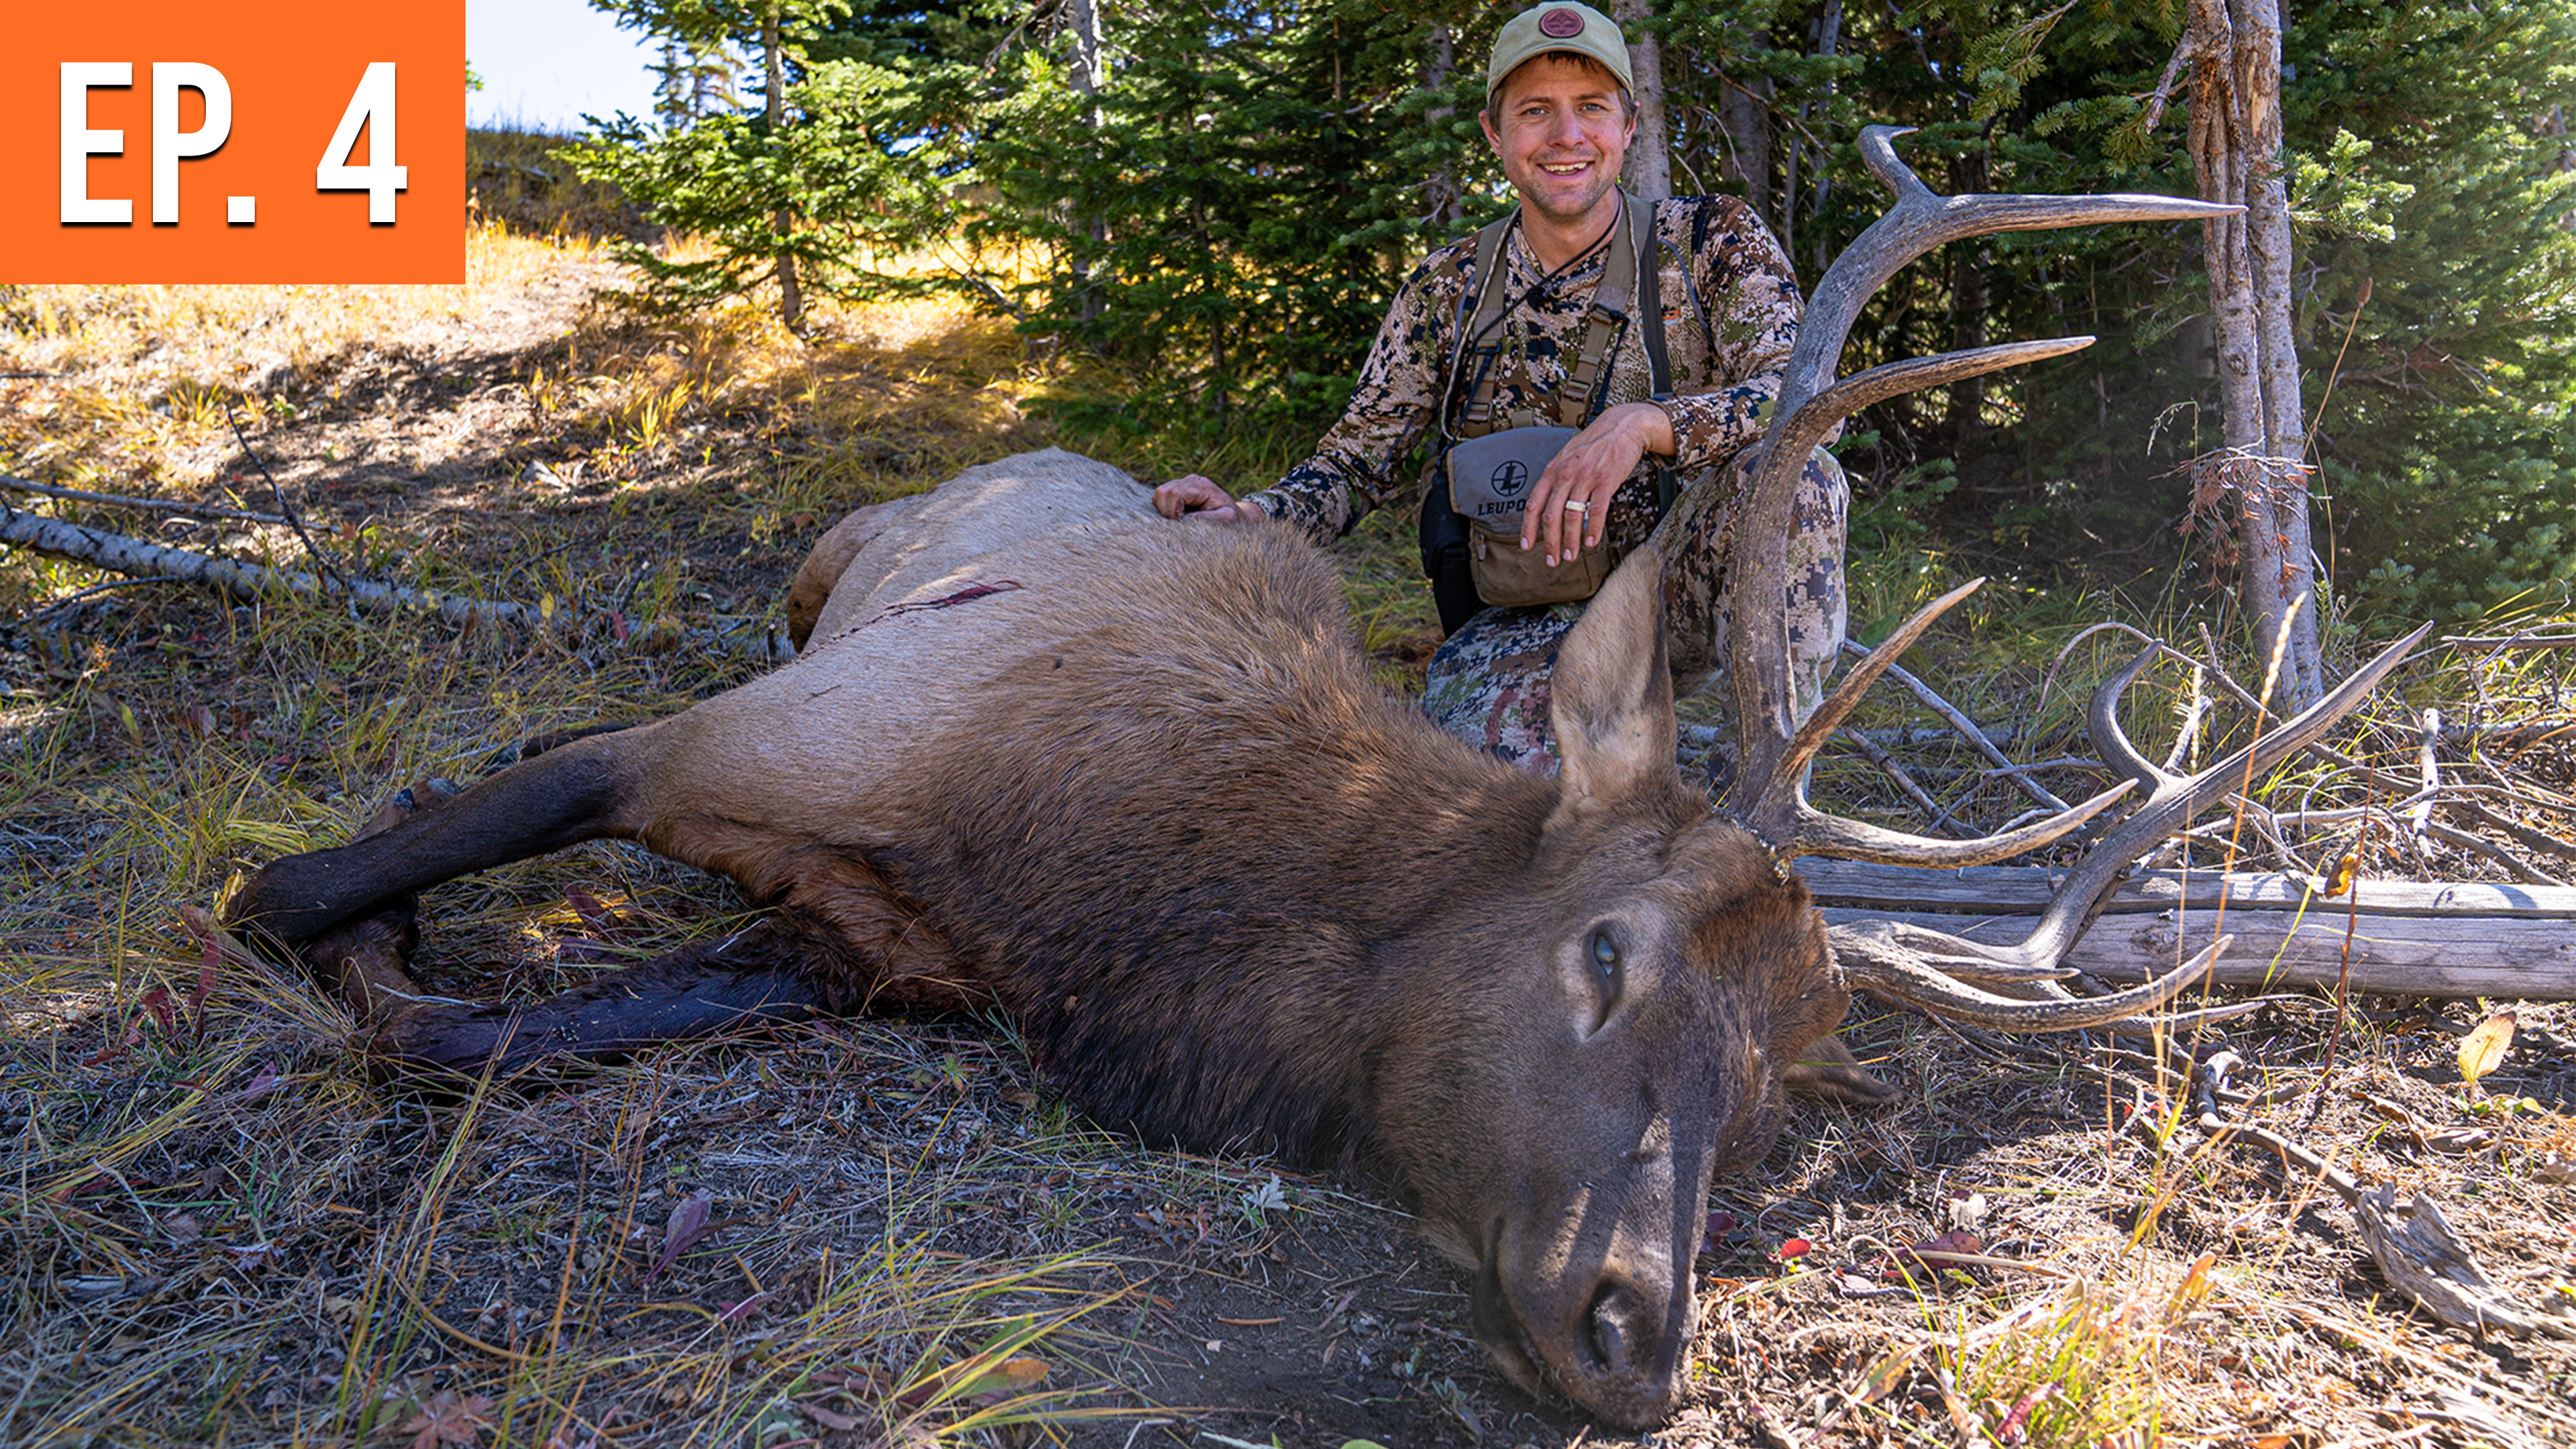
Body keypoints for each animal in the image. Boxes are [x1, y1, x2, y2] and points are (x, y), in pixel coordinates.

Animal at [218, 128, 2428, 1428]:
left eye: (1772, 1092)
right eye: (1602, 953)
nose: (1634, 1337)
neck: (1100, 890)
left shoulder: (870, 953)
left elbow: (478, 1028)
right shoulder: (730, 739)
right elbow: (295, 897)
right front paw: (376, 914)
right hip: (813, 582)